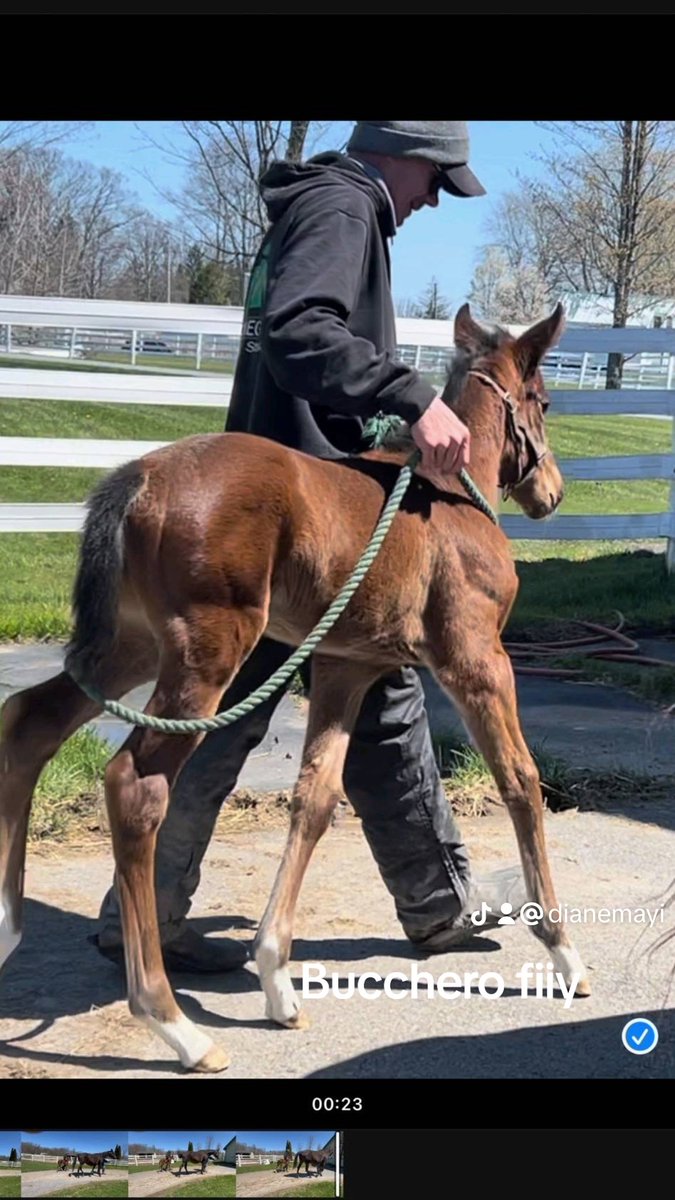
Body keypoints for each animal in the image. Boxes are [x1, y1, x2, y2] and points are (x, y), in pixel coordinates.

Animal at [0, 300, 586, 1070]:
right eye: (543, 402)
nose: (552, 492)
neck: (448, 492)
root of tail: (139, 477)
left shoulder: (346, 666)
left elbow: (316, 797)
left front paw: (276, 977)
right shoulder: (476, 658)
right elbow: (519, 779)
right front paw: (565, 952)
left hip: (130, 643)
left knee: (30, 721)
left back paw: (7, 926)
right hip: (206, 651)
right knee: (136, 785)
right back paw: (175, 1024)